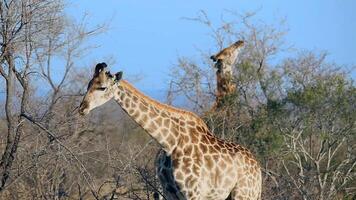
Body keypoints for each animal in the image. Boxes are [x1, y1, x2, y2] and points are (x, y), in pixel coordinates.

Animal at [78, 63, 262, 200]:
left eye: (102, 87)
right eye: (88, 85)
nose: (82, 108)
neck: (169, 142)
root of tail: (258, 168)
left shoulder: (193, 193)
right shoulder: (169, 193)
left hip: (244, 194)